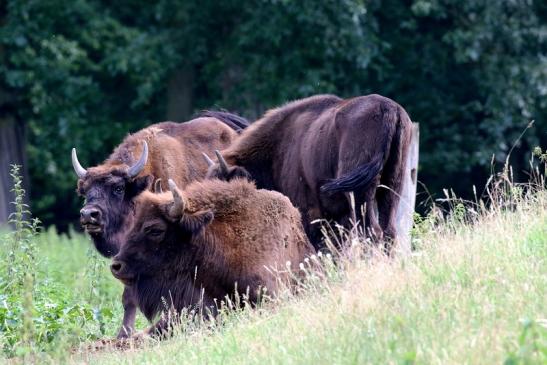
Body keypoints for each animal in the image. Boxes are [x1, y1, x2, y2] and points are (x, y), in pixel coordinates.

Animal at [203, 95, 414, 252]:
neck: (279, 147)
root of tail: (388, 109)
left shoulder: (308, 210)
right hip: (392, 186)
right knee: (388, 231)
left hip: (361, 195)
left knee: (372, 233)